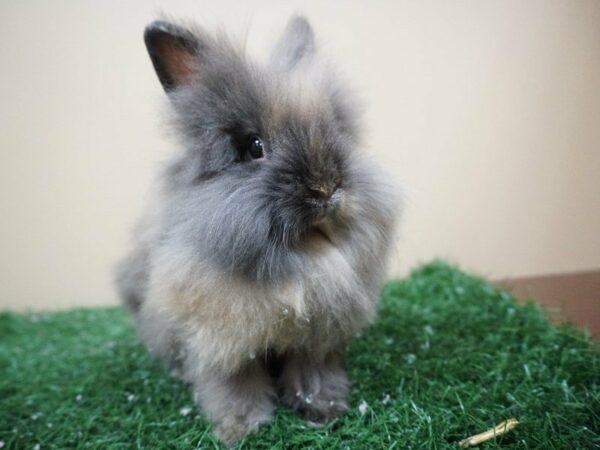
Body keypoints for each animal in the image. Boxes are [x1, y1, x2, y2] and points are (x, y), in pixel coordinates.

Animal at [115, 14, 400, 446]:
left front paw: (324, 412)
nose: (327, 188)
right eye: (253, 147)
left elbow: (312, 373)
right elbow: (234, 384)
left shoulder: (316, 337)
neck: (302, 252)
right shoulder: (221, 341)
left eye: (333, 128)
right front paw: (241, 429)